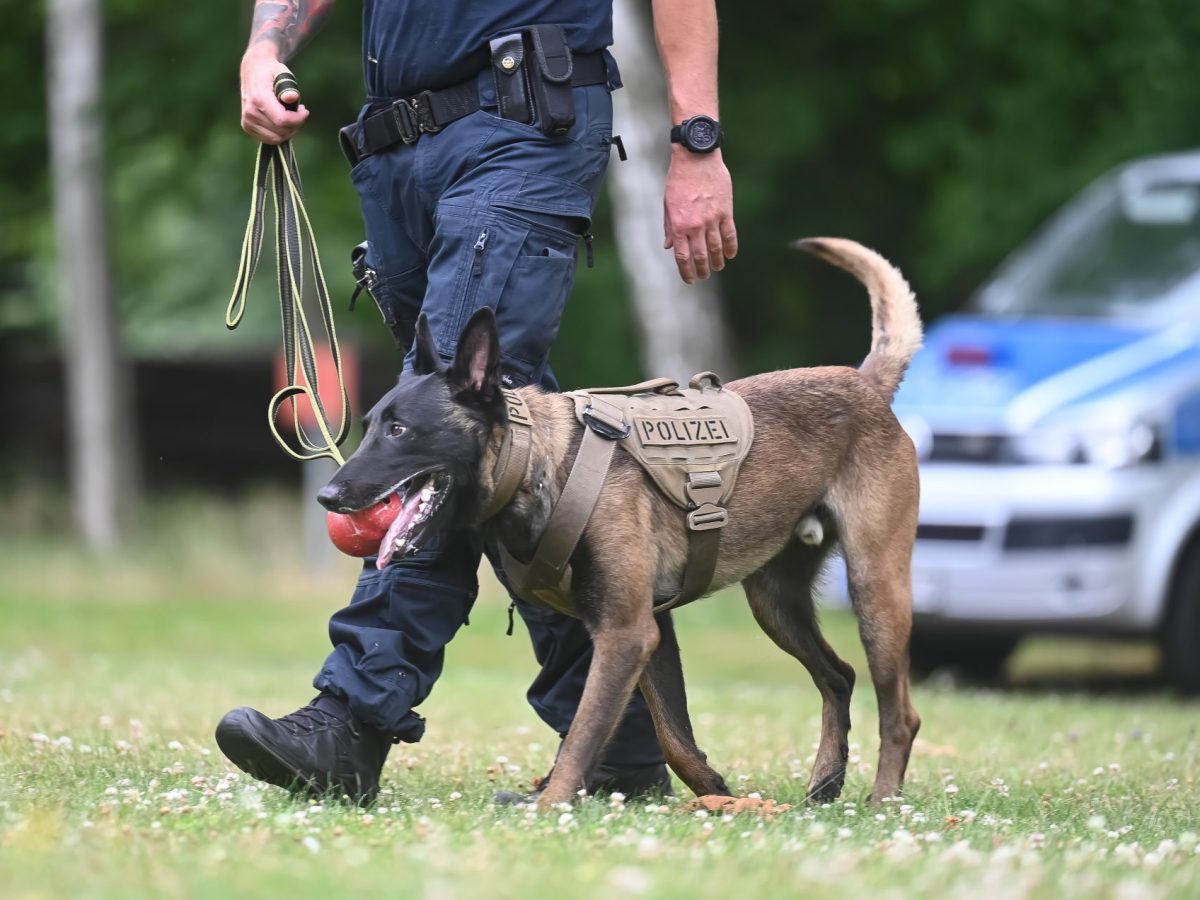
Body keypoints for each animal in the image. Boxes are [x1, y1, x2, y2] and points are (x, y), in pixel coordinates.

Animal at [314, 237, 921, 811]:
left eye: (399, 431)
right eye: (370, 425)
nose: (328, 495)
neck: (537, 464)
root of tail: (866, 385)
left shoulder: (627, 633)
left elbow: (586, 731)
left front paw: (550, 806)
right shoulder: (651, 631)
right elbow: (673, 735)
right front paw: (716, 792)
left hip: (875, 588)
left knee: (899, 713)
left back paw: (883, 799)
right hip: (775, 602)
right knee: (838, 677)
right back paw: (826, 783)